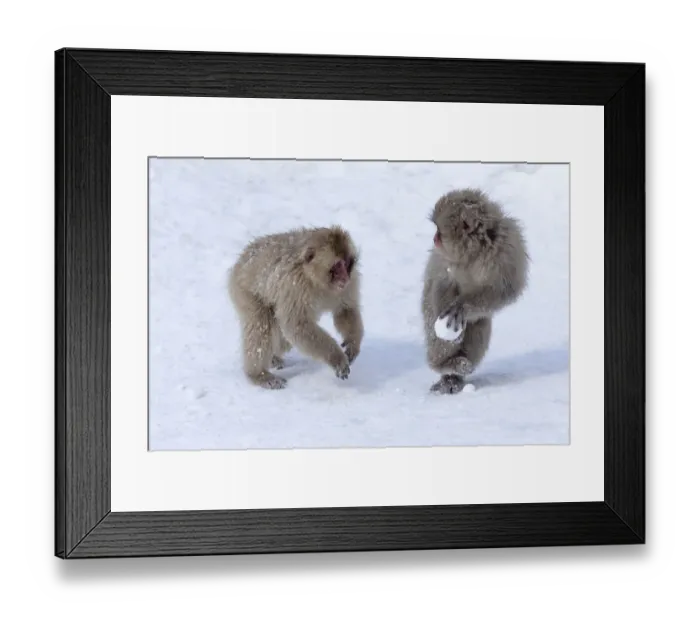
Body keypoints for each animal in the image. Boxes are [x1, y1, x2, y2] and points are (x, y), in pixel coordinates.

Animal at [228, 225, 364, 390]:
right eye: (337, 265)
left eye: (347, 263)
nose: (344, 278)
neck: (316, 281)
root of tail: (241, 260)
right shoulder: (295, 286)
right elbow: (297, 325)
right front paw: (337, 358)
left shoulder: (350, 283)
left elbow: (346, 310)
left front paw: (353, 343)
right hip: (245, 292)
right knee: (262, 327)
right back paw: (259, 375)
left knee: (283, 339)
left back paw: (273, 358)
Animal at [421, 188, 529, 395]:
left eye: (439, 231)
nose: (434, 239)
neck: (474, 251)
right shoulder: (444, 259)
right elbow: (442, 283)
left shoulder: (506, 250)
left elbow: (503, 290)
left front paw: (461, 307)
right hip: (427, 308)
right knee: (436, 331)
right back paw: (445, 364)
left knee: (480, 325)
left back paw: (454, 373)